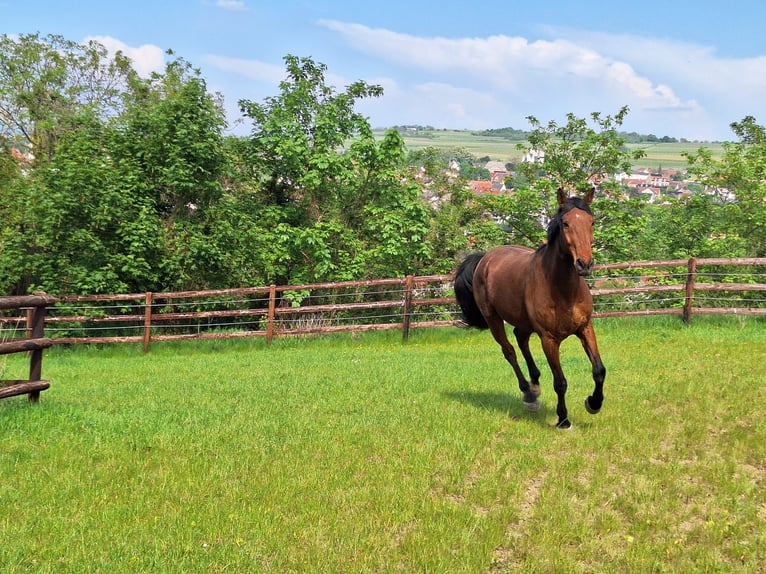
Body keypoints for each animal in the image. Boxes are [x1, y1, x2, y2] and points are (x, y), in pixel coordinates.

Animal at [456, 187, 608, 430]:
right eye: (565, 223)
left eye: (591, 221)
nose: (584, 264)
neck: (563, 290)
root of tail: (485, 258)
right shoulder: (549, 339)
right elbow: (560, 382)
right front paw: (563, 420)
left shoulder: (585, 328)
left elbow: (599, 370)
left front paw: (594, 403)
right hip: (493, 319)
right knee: (509, 351)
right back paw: (528, 394)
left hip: (523, 321)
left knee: (521, 338)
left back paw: (535, 385)